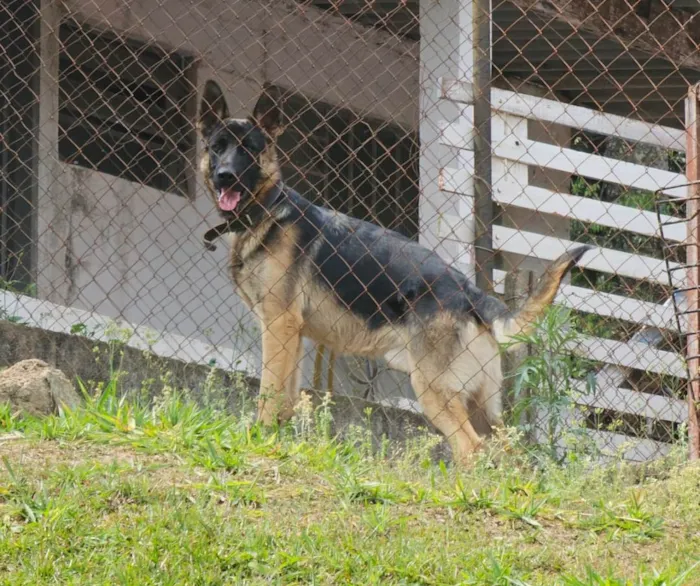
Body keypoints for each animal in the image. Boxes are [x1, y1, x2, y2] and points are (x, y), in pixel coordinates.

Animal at [197, 81, 592, 466]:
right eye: (217, 148)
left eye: (249, 150)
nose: (225, 177)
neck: (267, 210)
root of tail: (469, 292)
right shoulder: (292, 334)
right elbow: (286, 399)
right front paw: (278, 441)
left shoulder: (279, 324)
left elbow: (269, 393)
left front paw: (259, 440)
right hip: (483, 407)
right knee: (514, 456)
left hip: (434, 390)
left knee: (470, 448)